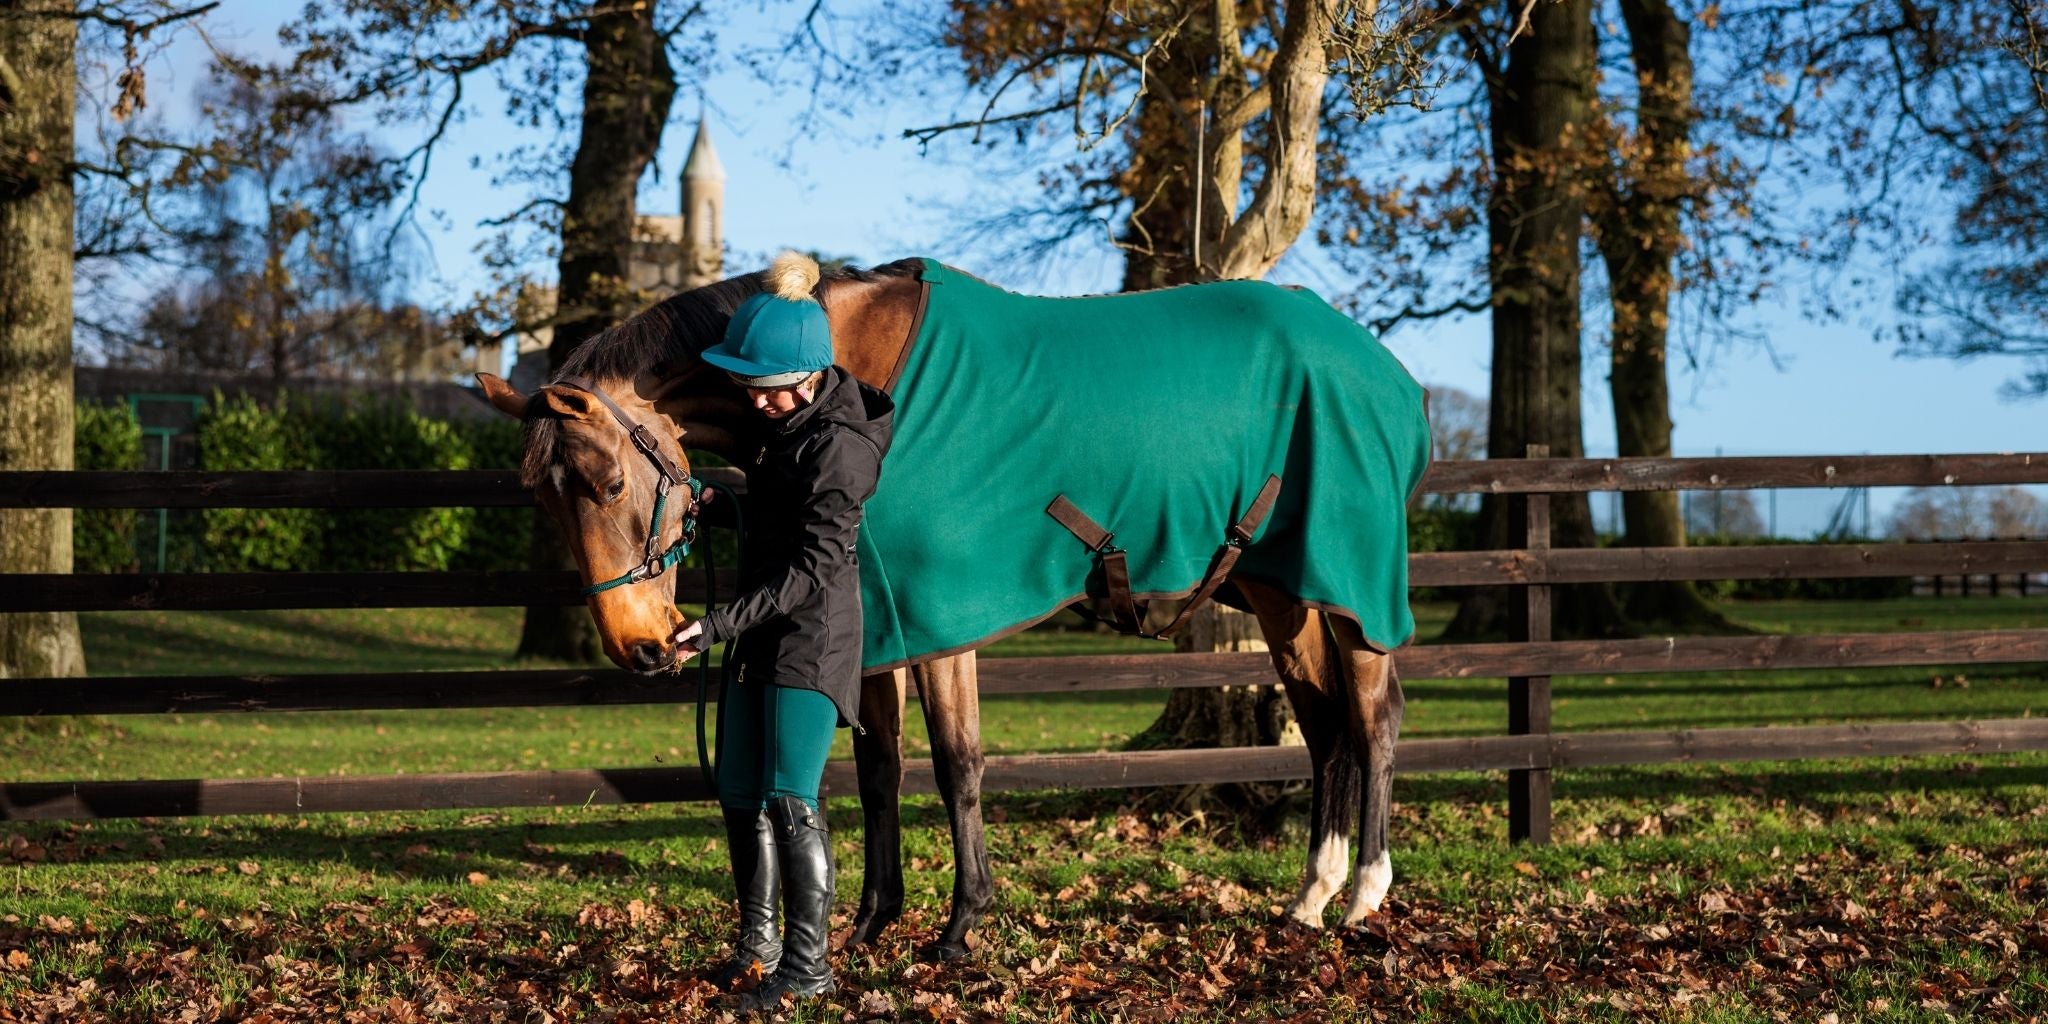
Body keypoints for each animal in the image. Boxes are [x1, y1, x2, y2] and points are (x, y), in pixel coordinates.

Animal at [476, 256, 1426, 961]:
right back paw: (1309, 895)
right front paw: (870, 922)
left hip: (1354, 589)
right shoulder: (878, 622)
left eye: (605, 485)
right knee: (1324, 726)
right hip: (1282, 590)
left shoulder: (940, 625)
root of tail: (1388, 374)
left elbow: (958, 765)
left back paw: (1364, 895)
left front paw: (962, 926)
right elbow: (879, 769)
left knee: (1375, 716)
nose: (641, 648)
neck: (855, 381)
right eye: (543, 503)